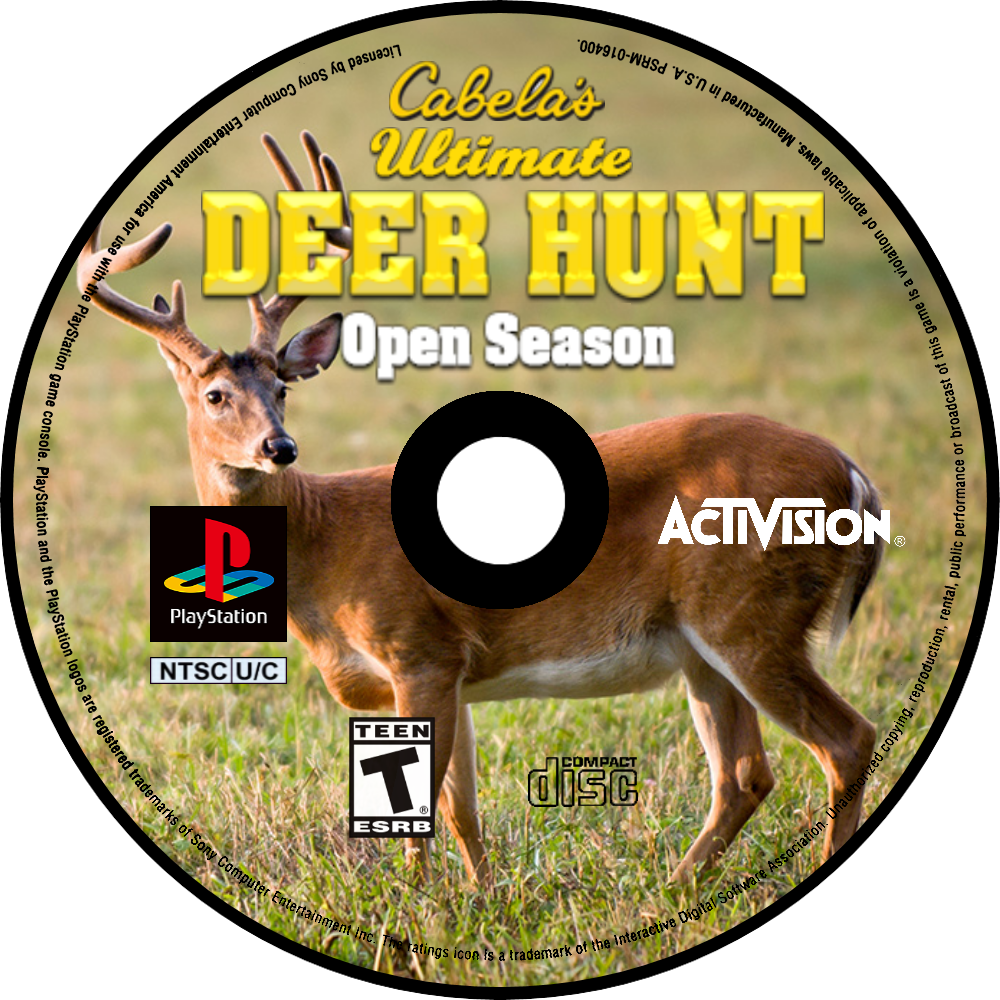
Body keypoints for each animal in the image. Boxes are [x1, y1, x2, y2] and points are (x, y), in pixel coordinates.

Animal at [77, 131, 883, 891]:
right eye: (215, 395)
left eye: (282, 388)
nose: (279, 446)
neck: (322, 545)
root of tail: (853, 475)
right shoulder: (450, 670)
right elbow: (462, 807)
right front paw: (481, 898)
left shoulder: (419, 646)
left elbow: (419, 807)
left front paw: (415, 903)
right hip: (700, 643)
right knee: (746, 773)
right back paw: (673, 890)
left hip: (749, 612)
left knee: (845, 740)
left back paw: (818, 889)